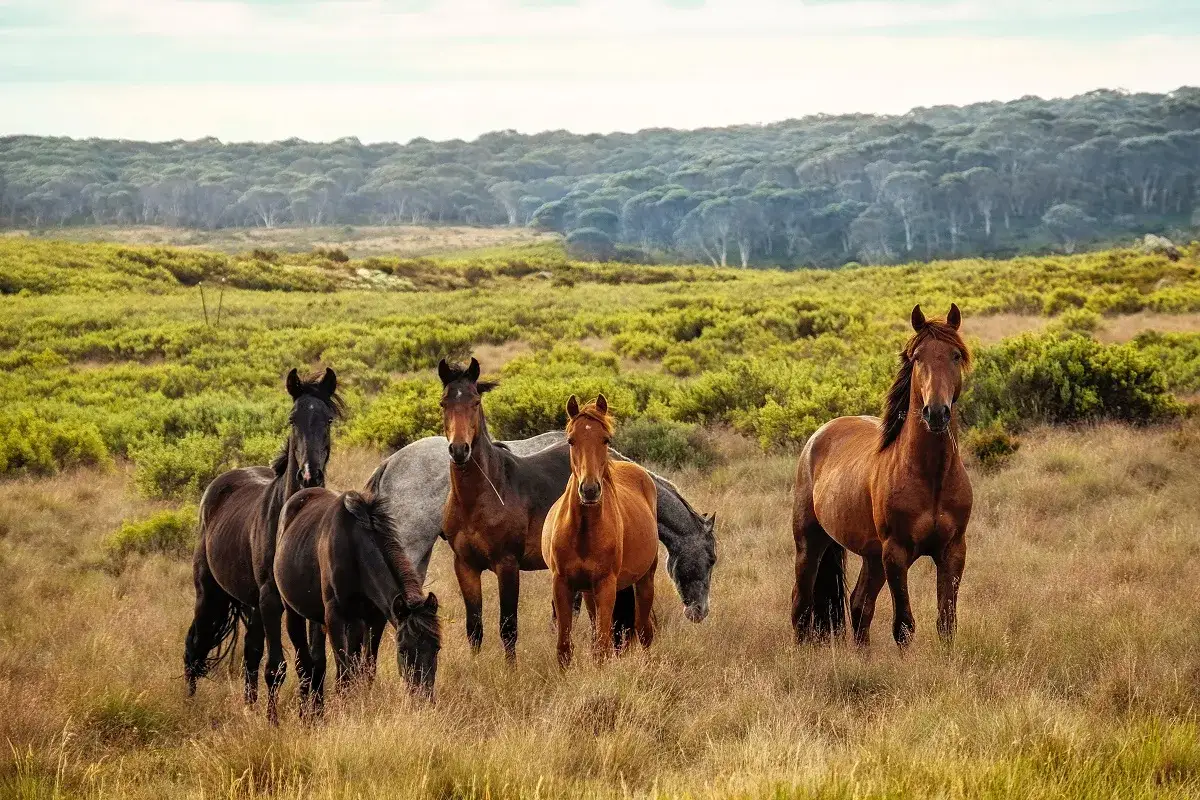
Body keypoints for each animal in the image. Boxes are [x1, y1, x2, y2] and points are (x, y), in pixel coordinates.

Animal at [184, 368, 341, 709]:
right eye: (293, 419)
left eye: (328, 419)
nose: (310, 475)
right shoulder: (271, 600)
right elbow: (278, 667)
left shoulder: (308, 603)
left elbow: (314, 663)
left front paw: (315, 712)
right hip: (210, 594)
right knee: (194, 645)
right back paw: (189, 703)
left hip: (251, 604)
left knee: (250, 653)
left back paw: (250, 705)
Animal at [273, 487, 440, 716]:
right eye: (403, 650)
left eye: (437, 648)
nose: (424, 699)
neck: (355, 549)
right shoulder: (335, 617)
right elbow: (344, 672)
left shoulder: (375, 618)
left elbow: (366, 668)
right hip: (293, 612)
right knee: (304, 664)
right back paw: (307, 714)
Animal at [438, 357, 578, 661]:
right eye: (444, 403)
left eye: (476, 401)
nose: (459, 450)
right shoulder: (464, 565)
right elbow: (474, 627)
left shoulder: (507, 565)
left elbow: (508, 627)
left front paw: (510, 670)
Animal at [542, 395, 658, 667]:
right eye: (571, 440)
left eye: (605, 439)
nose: (590, 490)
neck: (584, 532)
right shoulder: (562, 584)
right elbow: (564, 647)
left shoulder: (606, 586)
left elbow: (602, 647)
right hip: (588, 592)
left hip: (645, 580)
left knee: (644, 631)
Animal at [791, 304, 972, 647]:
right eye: (917, 357)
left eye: (955, 355)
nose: (936, 413)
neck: (930, 476)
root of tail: (818, 436)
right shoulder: (896, 555)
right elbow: (903, 626)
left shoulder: (953, 551)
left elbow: (947, 622)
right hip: (810, 543)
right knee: (801, 605)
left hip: (871, 556)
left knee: (859, 605)